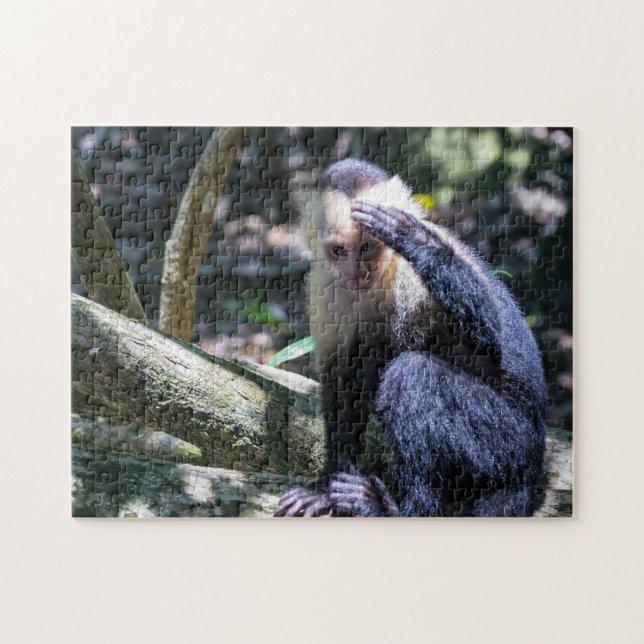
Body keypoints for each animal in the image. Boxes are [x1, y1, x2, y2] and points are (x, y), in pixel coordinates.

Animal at [274, 158, 547, 517]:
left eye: (366, 246)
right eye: (339, 250)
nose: (356, 273)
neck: (382, 276)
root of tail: (534, 461)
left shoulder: (411, 278)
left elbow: (487, 348)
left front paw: (415, 239)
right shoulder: (326, 288)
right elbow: (342, 379)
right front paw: (324, 485)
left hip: (510, 441)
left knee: (413, 374)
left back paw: (398, 509)